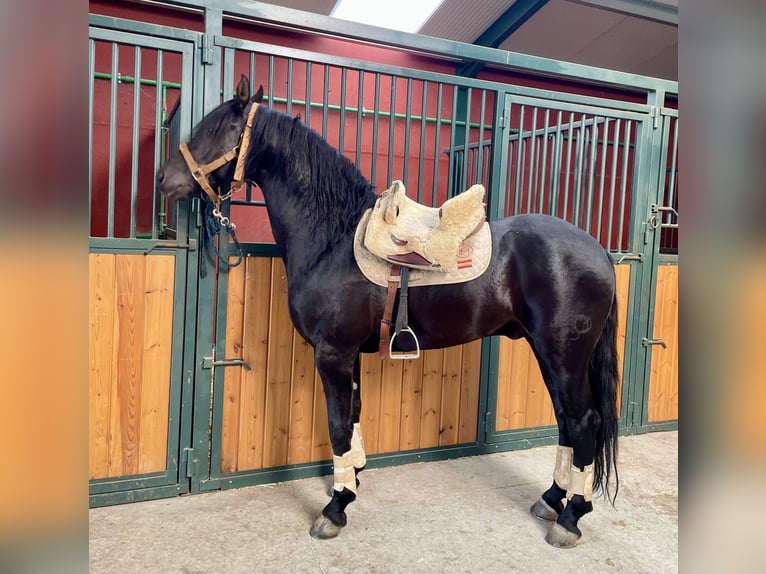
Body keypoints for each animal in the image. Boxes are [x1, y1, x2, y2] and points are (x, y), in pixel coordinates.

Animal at [159, 76, 620, 548]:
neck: (333, 237)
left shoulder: (333, 354)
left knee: (583, 421)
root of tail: (598, 249)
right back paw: (552, 499)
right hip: (549, 353)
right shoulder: (349, 356)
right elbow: (354, 417)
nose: (163, 179)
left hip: (563, 355)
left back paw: (571, 517)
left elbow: (338, 426)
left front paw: (336, 508)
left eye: (215, 128)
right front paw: (352, 480)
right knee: (567, 420)